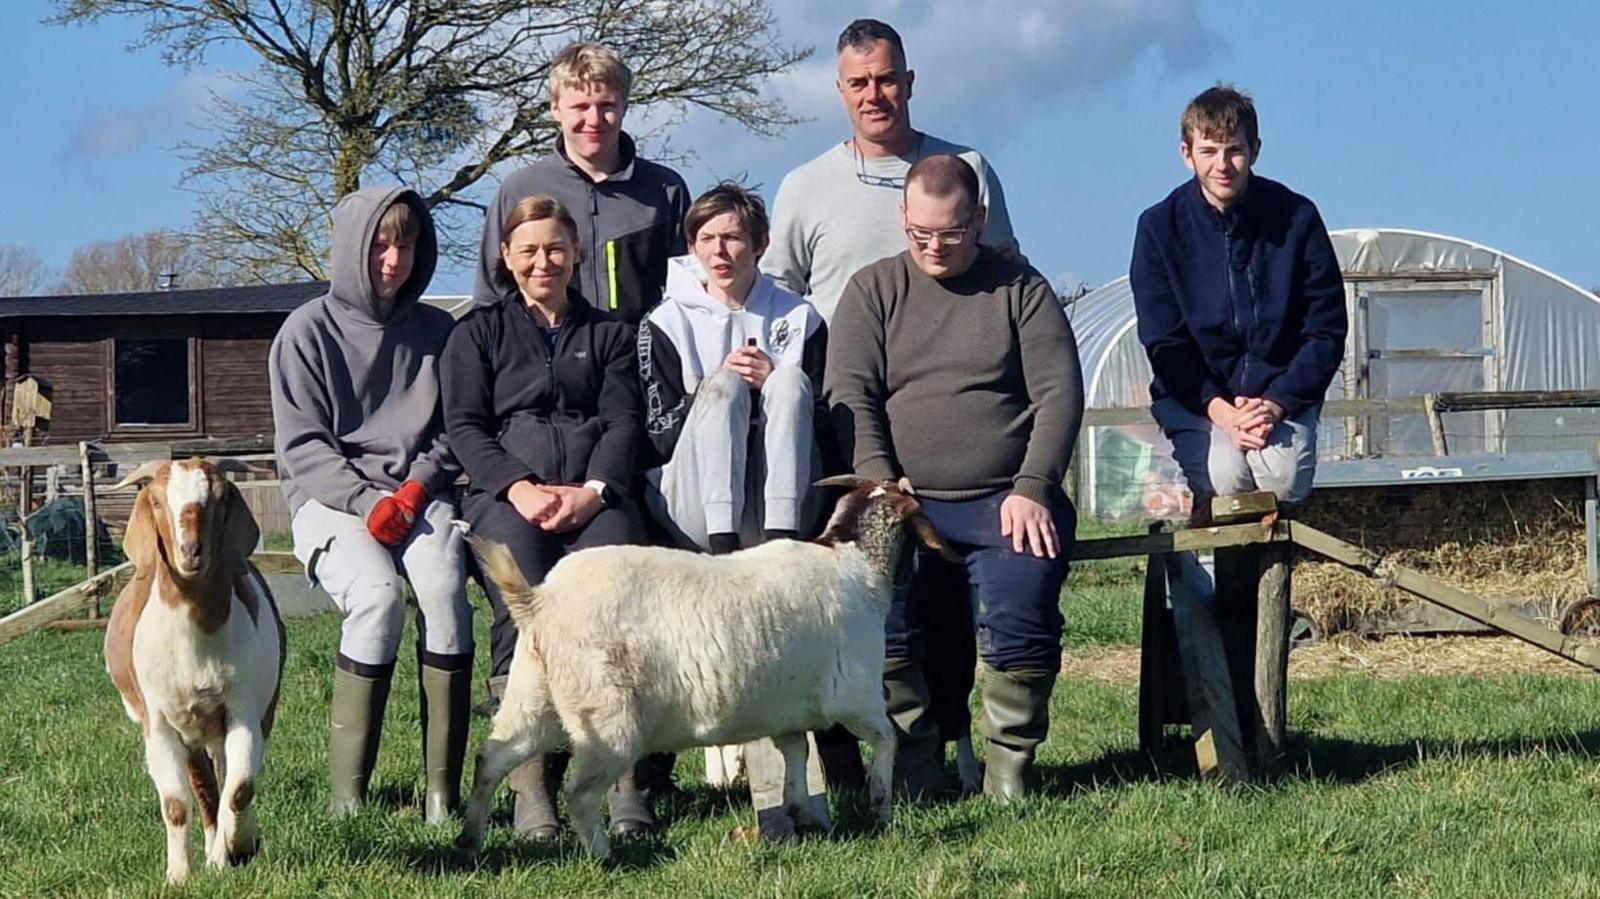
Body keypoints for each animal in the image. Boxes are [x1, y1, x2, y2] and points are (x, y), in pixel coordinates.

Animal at [103, 457, 284, 876]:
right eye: (155, 501)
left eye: (219, 498)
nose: (190, 552)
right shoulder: (158, 721)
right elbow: (175, 803)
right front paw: (178, 875)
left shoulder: (243, 710)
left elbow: (239, 789)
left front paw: (235, 848)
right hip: (187, 729)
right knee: (203, 785)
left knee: (225, 778)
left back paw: (230, 846)